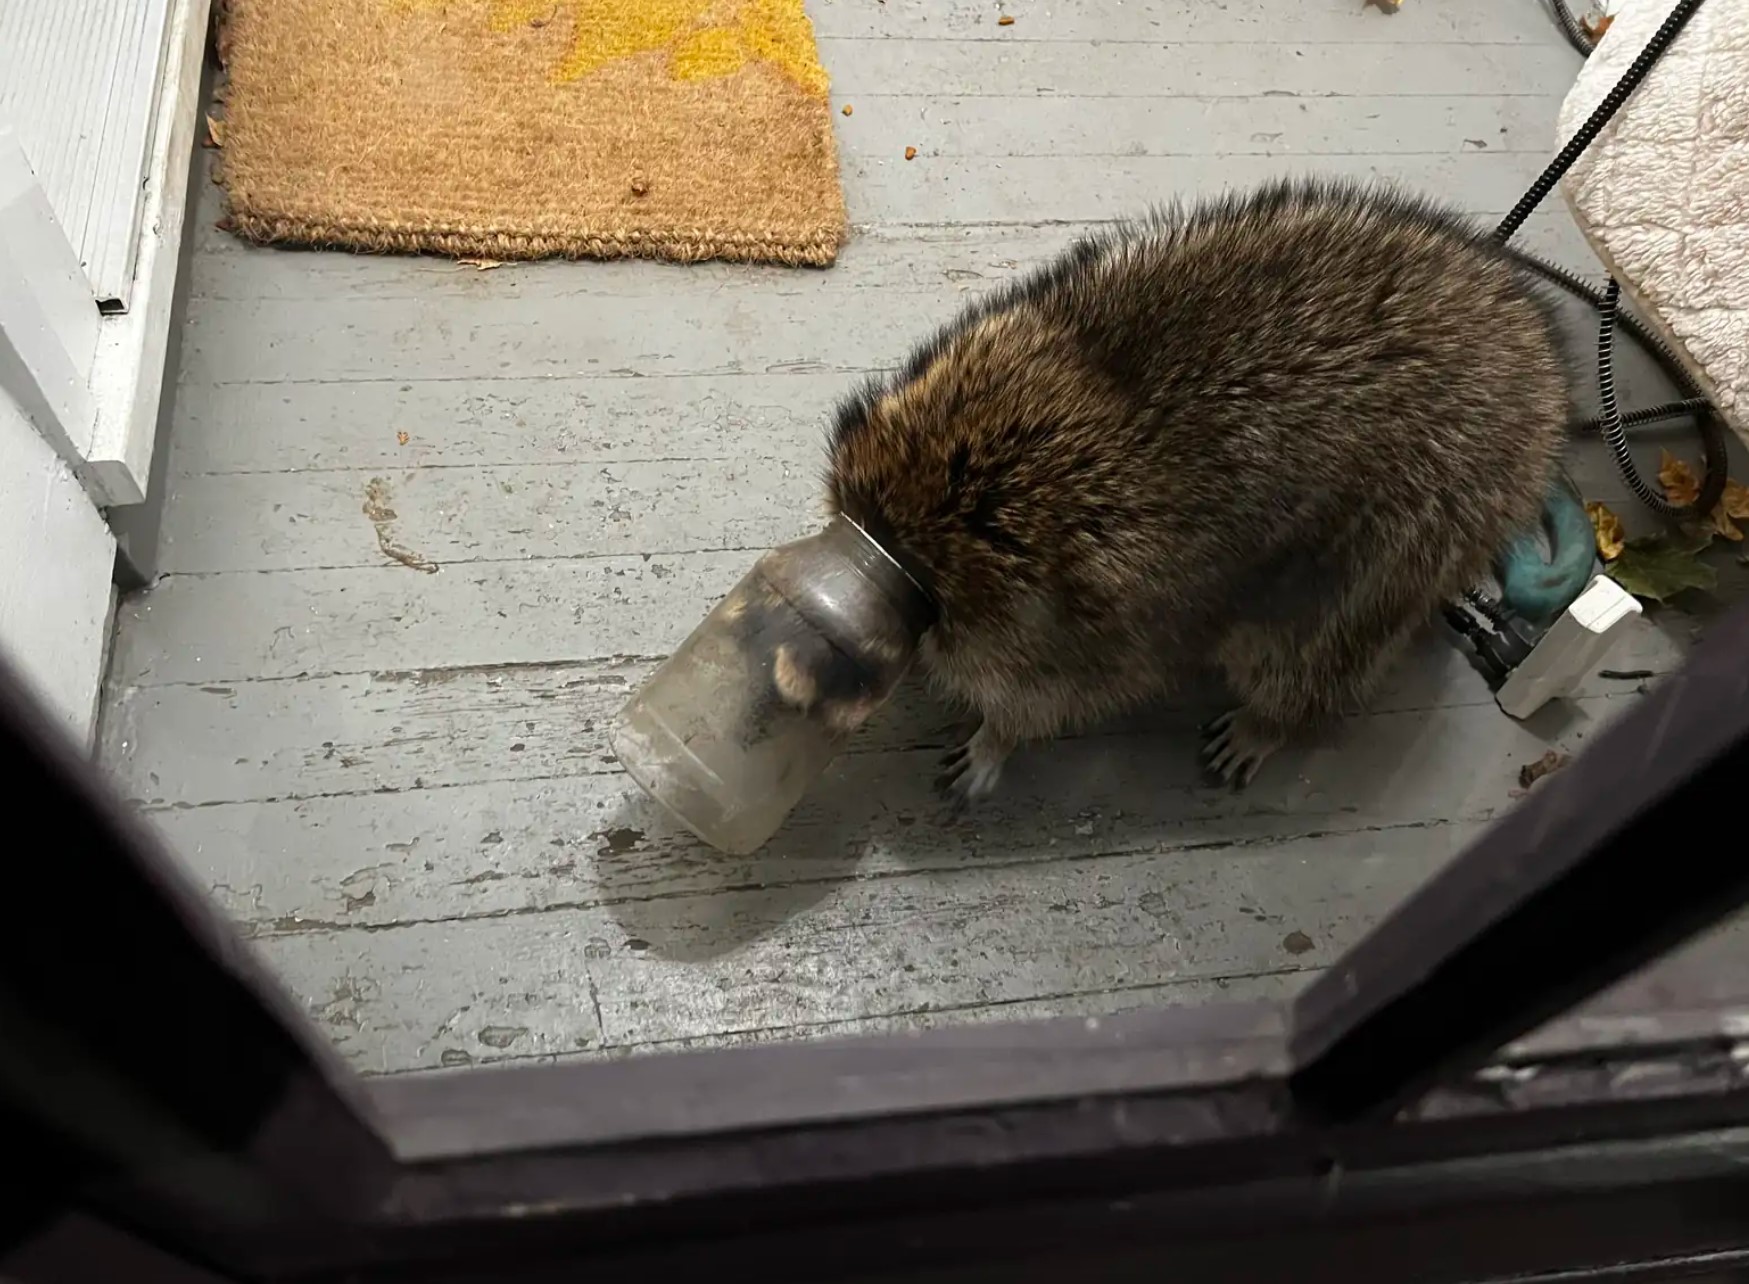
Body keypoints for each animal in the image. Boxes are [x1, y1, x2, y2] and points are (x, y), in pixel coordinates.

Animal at [818, 178, 1574, 804]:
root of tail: (1542, 380)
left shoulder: (1102, 637)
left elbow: (1050, 700)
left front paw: (994, 739)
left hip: (1396, 552)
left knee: (1313, 655)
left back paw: (1271, 722)